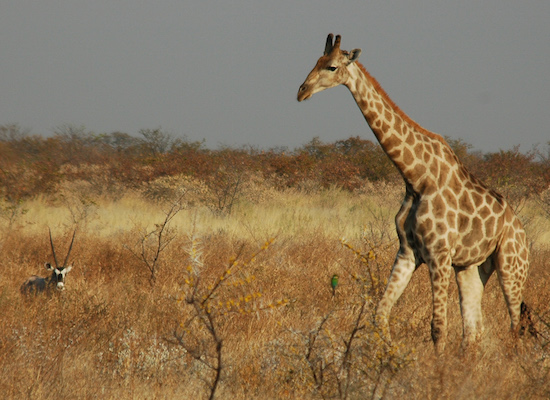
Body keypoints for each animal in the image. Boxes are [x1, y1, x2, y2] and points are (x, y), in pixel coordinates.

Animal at [298, 34, 536, 354]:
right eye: (316, 61)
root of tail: (521, 229)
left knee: (514, 325)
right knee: (474, 329)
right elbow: (380, 313)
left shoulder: (439, 254)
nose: (301, 92)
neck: (415, 177)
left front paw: (436, 368)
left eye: (332, 67)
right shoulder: (408, 251)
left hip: (511, 265)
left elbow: (437, 327)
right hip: (472, 267)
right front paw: (388, 357)